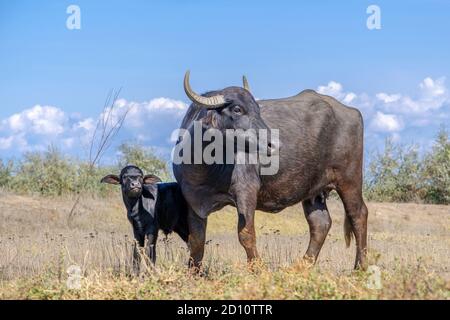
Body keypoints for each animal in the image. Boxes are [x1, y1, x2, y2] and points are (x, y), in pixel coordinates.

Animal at [173, 72, 370, 270]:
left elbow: (246, 234)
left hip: (349, 180)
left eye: (257, 109)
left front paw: (257, 267)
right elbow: (197, 240)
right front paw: (193, 271)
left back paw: (360, 267)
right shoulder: (192, 200)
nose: (274, 143)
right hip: (313, 191)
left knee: (358, 215)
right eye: (237, 109)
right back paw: (302, 266)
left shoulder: (246, 191)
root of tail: (351, 111)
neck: (205, 168)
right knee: (320, 223)